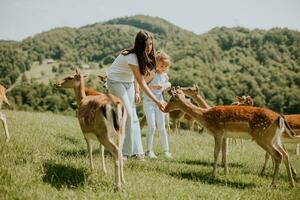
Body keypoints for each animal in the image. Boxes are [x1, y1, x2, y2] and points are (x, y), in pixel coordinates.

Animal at [166, 87, 298, 188]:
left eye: (171, 99)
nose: (165, 108)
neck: (205, 116)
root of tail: (279, 118)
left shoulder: (218, 132)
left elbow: (216, 153)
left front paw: (212, 175)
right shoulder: (225, 135)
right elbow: (224, 152)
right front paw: (222, 173)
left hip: (263, 137)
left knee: (278, 155)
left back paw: (272, 184)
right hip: (275, 139)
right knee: (285, 154)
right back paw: (291, 184)